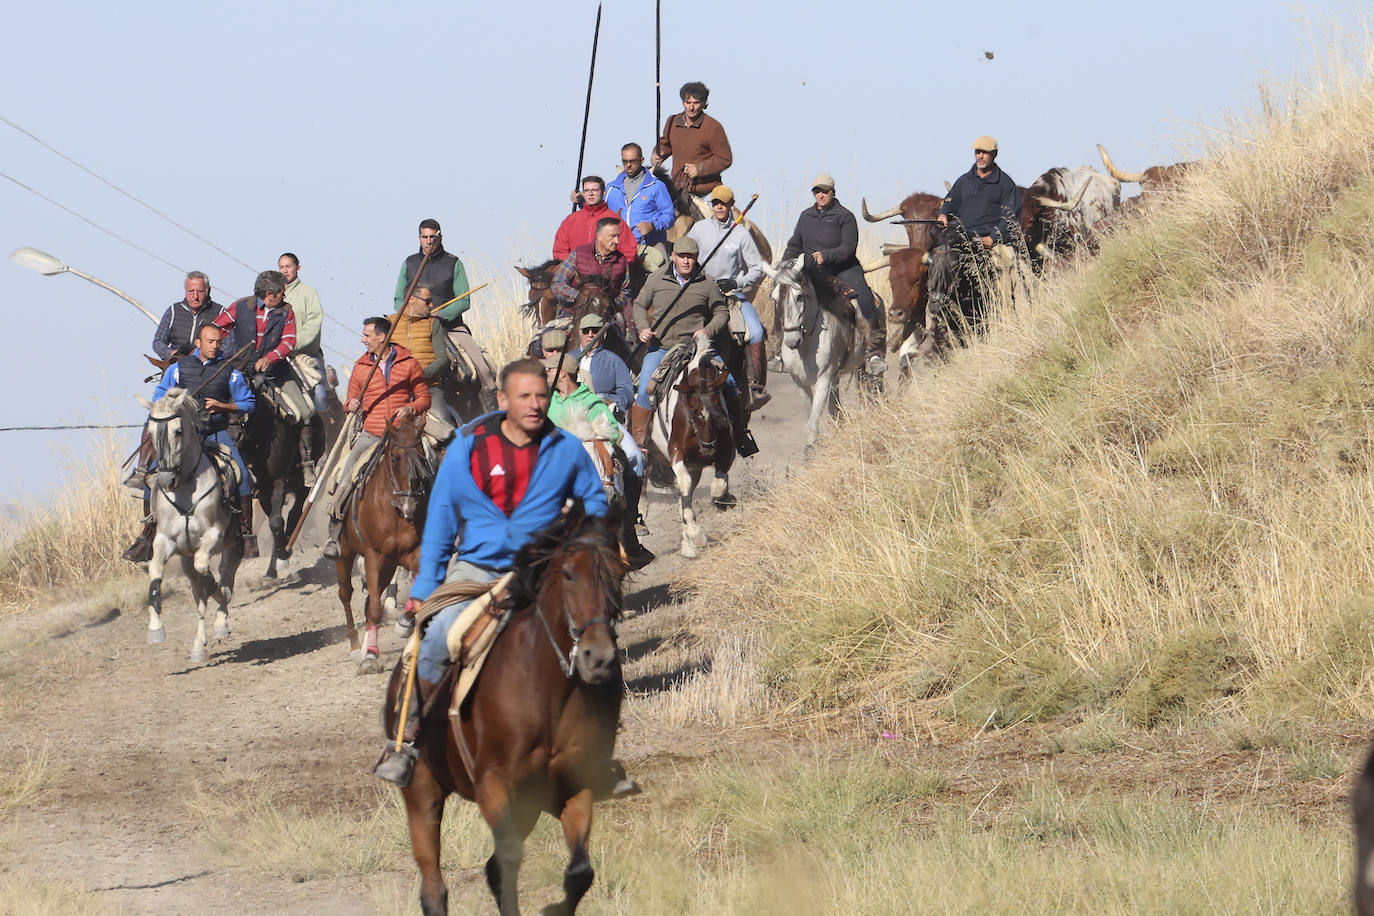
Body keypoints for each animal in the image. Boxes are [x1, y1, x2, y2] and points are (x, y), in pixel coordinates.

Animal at [333, 414, 428, 672]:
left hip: (389, 565)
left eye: (421, 455)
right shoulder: (373, 555)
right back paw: (356, 646)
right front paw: (370, 657)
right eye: (394, 458)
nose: (409, 507)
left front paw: (404, 625)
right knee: (346, 594)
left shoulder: (413, 553)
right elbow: (375, 607)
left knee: (368, 600)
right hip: (345, 554)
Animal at [381, 508, 629, 916]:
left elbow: (579, 872)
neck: (544, 692)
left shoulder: (573, 784)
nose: (599, 658)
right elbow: (510, 860)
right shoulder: (494, 786)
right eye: (567, 573)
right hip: (422, 793)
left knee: (492, 870)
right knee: (434, 889)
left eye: (619, 572)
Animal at [769, 254, 851, 447]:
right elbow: (810, 413)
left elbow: (813, 423)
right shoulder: (799, 381)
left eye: (800, 297)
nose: (792, 341)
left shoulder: (824, 378)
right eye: (774, 299)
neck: (805, 347)